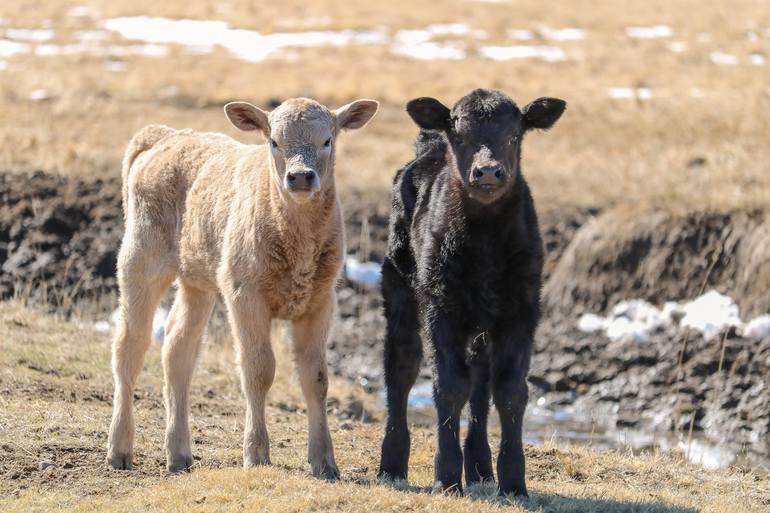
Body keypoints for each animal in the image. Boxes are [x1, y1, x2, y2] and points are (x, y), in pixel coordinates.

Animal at [106, 98, 378, 478]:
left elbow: (316, 378)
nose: (300, 177)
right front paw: (257, 453)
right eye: (274, 142)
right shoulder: (244, 294)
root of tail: (165, 135)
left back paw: (178, 453)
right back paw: (119, 449)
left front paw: (324, 461)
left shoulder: (321, 301)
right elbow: (258, 370)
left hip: (198, 279)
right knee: (130, 346)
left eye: (328, 140)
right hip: (140, 260)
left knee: (178, 347)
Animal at [378, 89, 564, 496]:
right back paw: (392, 465)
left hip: (481, 319)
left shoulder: (522, 309)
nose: (489, 172)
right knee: (401, 364)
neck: (485, 240)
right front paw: (446, 477)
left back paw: (480, 467)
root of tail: (428, 146)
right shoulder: (441, 306)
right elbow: (449, 386)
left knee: (480, 378)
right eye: (460, 137)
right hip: (399, 283)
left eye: (514, 136)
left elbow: (510, 391)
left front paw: (513, 482)